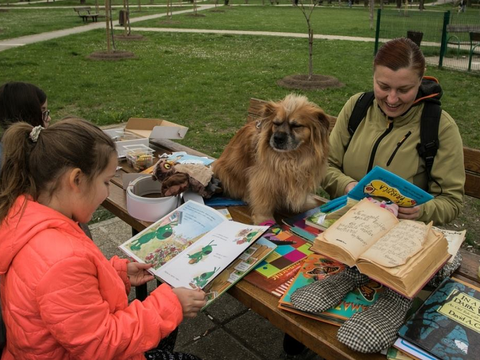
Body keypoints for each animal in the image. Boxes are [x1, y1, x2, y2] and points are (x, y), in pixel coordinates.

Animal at [213, 94, 330, 224]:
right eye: (276, 123)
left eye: (296, 126)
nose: (278, 138)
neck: (290, 157)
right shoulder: (264, 178)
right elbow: (264, 201)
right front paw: (264, 220)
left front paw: (304, 205)